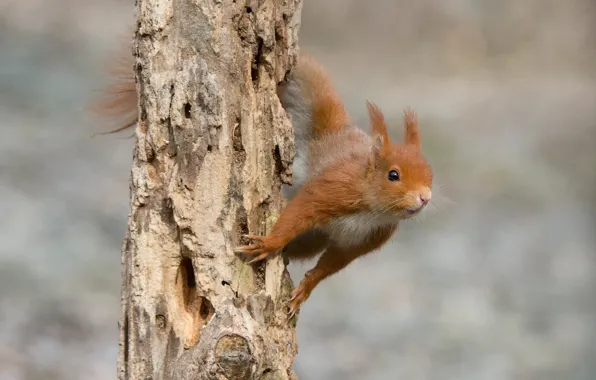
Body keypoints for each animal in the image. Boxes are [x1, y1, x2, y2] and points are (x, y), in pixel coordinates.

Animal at [89, 49, 434, 316]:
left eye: (431, 174)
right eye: (393, 175)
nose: (425, 198)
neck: (372, 211)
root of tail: (334, 133)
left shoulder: (366, 239)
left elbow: (332, 263)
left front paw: (306, 287)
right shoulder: (335, 189)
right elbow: (303, 208)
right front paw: (269, 244)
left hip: (315, 239)